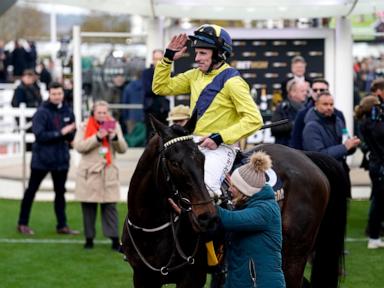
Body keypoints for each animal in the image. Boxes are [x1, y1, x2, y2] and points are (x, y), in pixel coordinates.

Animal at [122, 115, 348, 288]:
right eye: (174, 163)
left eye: (202, 159)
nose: (207, 218)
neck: (153, 229)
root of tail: (306, 156)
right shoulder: (142, 277)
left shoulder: (193, 276)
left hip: (294, 255)